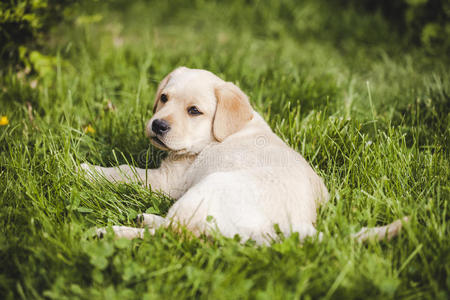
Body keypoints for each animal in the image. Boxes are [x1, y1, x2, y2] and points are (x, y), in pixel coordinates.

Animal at [81, 67, 408, 245]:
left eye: (194, 111)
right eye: (163, 98)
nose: (158, 125)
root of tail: (298, 226)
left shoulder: (167, 181)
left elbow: (123, 171)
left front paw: (86, 170)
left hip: (207, 189)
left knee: (175, 234)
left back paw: (112, 232)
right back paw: (145, 218)